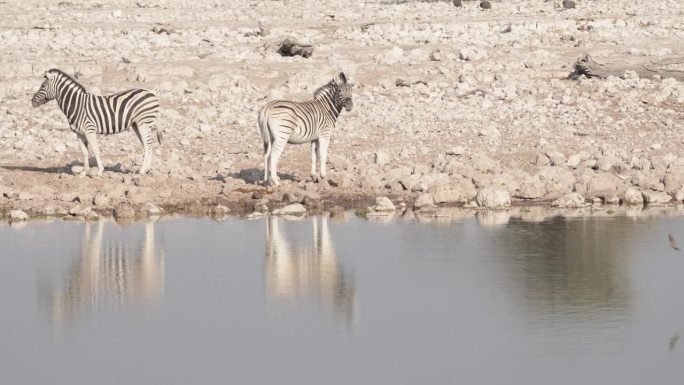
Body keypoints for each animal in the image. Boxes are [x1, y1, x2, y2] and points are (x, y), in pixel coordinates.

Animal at [31, 69, 162, 176]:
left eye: (43, 86)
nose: (32, 102)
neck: (77, 105)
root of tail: (152, 94)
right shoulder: (79, 133)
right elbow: (84, 152)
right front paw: (84, 172)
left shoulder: (89, 130)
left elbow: (95, 150)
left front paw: (99, 171)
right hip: (137, 125)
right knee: (148, 145)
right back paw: (147, 169)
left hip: (144, 123)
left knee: (148, 145)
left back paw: (142, 170)